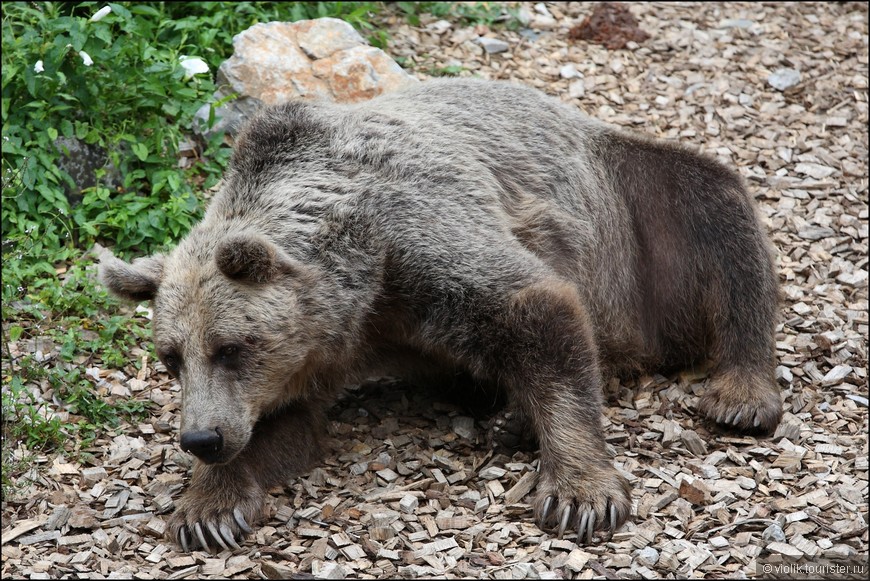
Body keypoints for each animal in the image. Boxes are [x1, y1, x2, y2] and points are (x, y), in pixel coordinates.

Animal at [100, 77, 784, 548]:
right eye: (171, 358)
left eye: (230, 347)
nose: (201, 437)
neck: (360, 296)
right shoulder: (316, 355)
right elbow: (285, 427)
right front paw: (207, 508)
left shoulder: (414, 235)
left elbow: (533, 306)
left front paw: (580, 493)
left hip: (633, 212)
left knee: (718, 217)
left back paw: (740, 393)